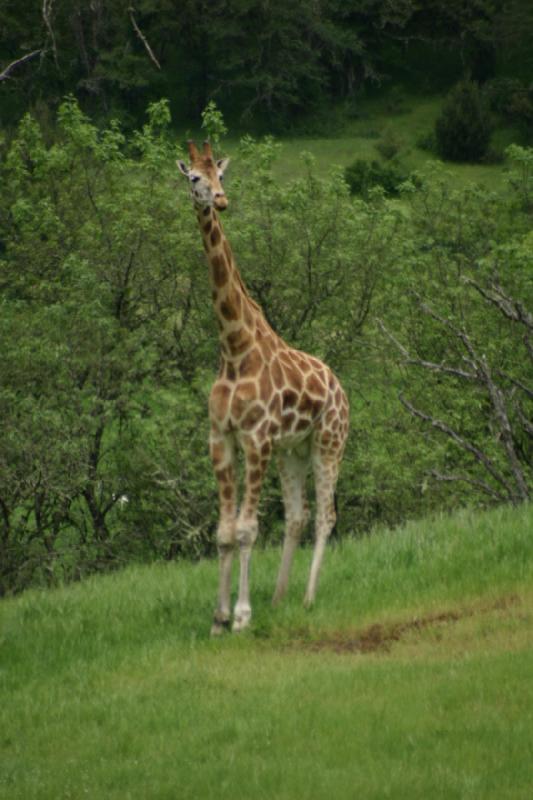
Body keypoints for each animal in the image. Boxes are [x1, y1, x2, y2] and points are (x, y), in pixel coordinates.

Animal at [177, 141, 348, 636]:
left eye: (221, 174)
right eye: (193, 177)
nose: (219, 200)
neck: (234, 347)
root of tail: (342, 389)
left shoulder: (256, 438)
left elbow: (246, 529)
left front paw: (241, 615)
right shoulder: (221, 438)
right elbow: (223, 530)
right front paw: (219, 617)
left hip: (329, 443)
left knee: (325, 515)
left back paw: (307, 598)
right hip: (293, 451)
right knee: (297, 515)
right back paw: (278, 597)